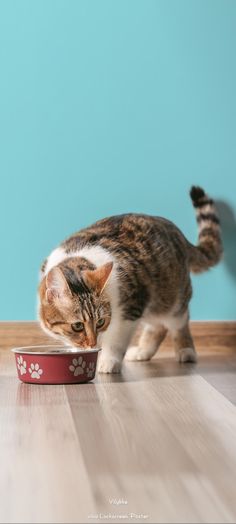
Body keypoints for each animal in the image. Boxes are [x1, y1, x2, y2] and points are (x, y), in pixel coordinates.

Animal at [38, 187, 221, 372]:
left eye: (100, 322)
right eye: (77, 326)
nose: (93, 344)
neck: (77, 258)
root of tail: (181, 236)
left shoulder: (131, 307)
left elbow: (116, 341)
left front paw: (108, 361)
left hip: (170, 297)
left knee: (178, 320)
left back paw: (186, 350)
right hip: (153, 300)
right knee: (158, 325)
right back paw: (142, 351)